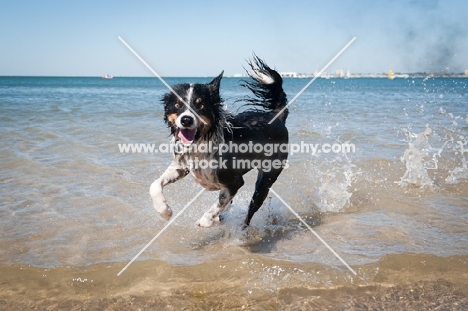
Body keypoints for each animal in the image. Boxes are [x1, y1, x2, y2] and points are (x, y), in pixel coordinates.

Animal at [150, 57, 288, 229]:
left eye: (201, 104)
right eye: (177, 104)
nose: (186, 120)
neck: (201, 142)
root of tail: (277, 117)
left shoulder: (235, 182)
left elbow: (218, 204)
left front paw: (207, 220)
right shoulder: (180, 167)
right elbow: (154, 185)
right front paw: (164, 210)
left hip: (266, 180)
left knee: (249, 214)